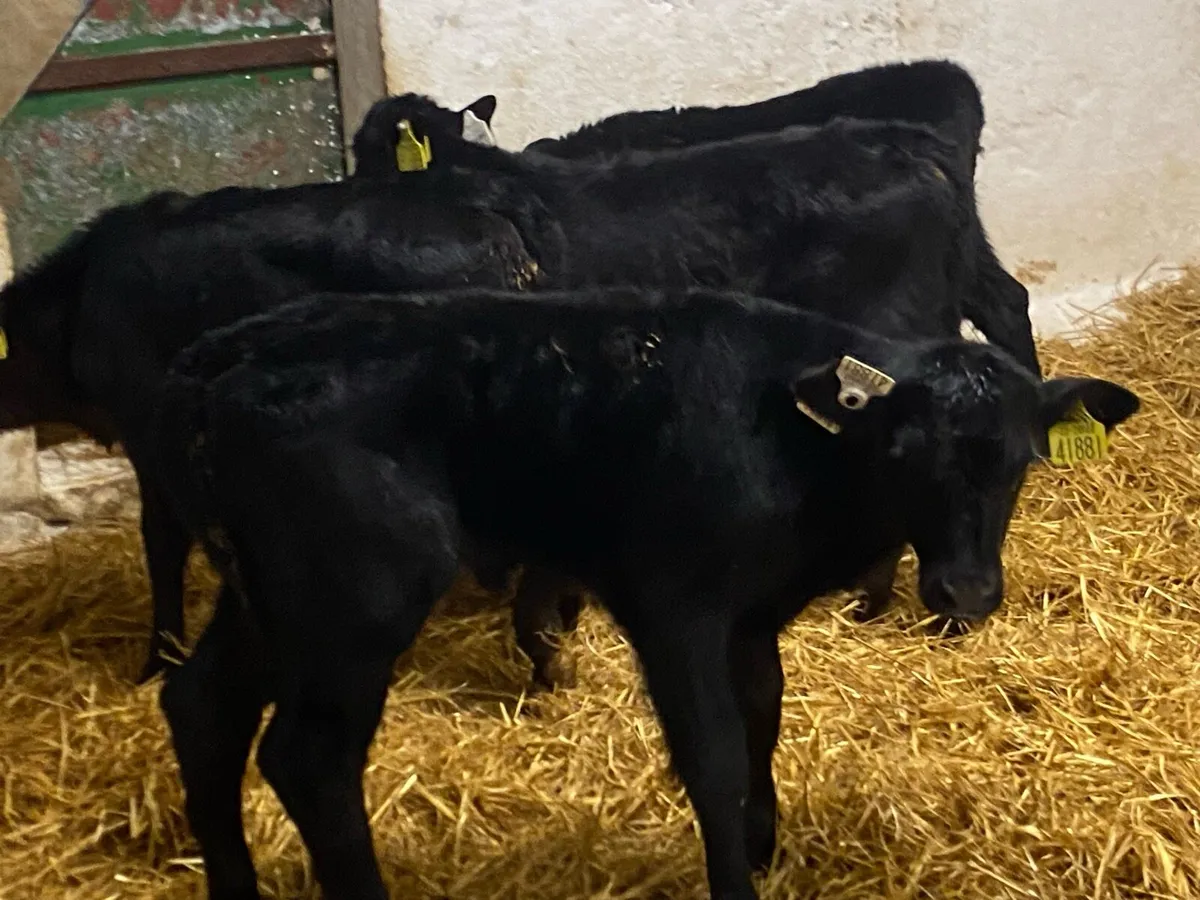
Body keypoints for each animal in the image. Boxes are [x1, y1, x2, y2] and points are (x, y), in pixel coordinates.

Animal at [151, 285, 1138, 900]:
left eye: (1021, 459)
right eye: (903, 451)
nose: (967, 590)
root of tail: (221, 358)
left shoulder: (751, 615)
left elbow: (762, 717)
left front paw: (764, 846)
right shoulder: (675, 607)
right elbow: (714, 753)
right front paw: (735, 876)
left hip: (269, 597)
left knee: (201, 706)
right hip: (355, 597)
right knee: (310, 759)